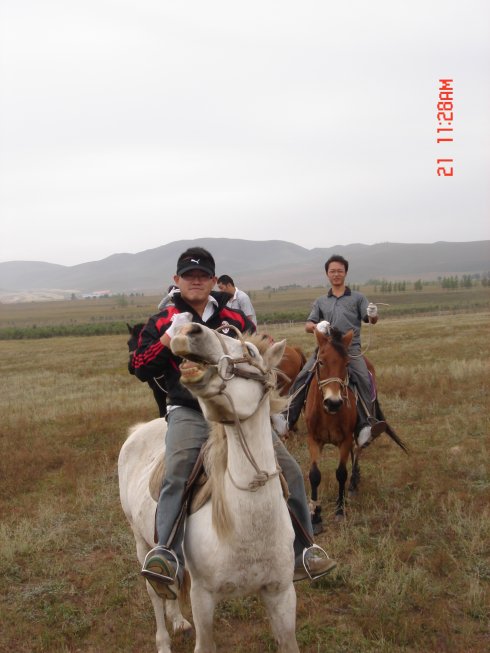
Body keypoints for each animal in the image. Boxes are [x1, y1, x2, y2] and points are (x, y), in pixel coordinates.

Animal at [119, 322, 298, 652]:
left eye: (250, 351)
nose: (190, 331)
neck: (250, 529)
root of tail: (139, 430)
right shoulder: (203, 598)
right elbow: (205, 643)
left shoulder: (281, 593)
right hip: (141, 543)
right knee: (155, 592)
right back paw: (163, 641)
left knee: (171, 586)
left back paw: (178, 620)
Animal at [306, 326, 406, 528]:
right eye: (321, 362)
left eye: (346, 364)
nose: (334, 402)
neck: (328, 414)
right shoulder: (314, 439)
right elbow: (314, 474)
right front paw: (316, 515)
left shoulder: (344, 440)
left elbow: (341, 473)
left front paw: (340, 509)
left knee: (358, 449)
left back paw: (353, 483)